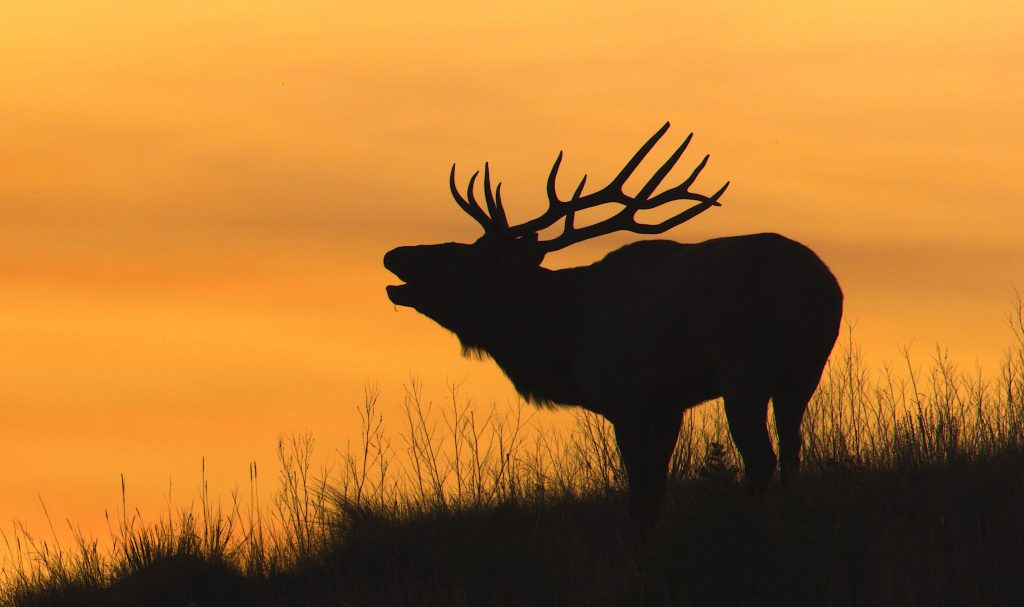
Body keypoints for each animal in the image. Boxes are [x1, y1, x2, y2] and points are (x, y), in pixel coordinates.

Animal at [385, 122, 839, 532]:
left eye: (466, 260)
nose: (394, 255)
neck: (564, 339)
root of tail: (814, 286)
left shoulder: (626, 397)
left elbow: (638, 495)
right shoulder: (667, 404)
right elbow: (656, 491)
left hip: (742, 365)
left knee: (761, 456)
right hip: (804, 369)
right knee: (792, 451)